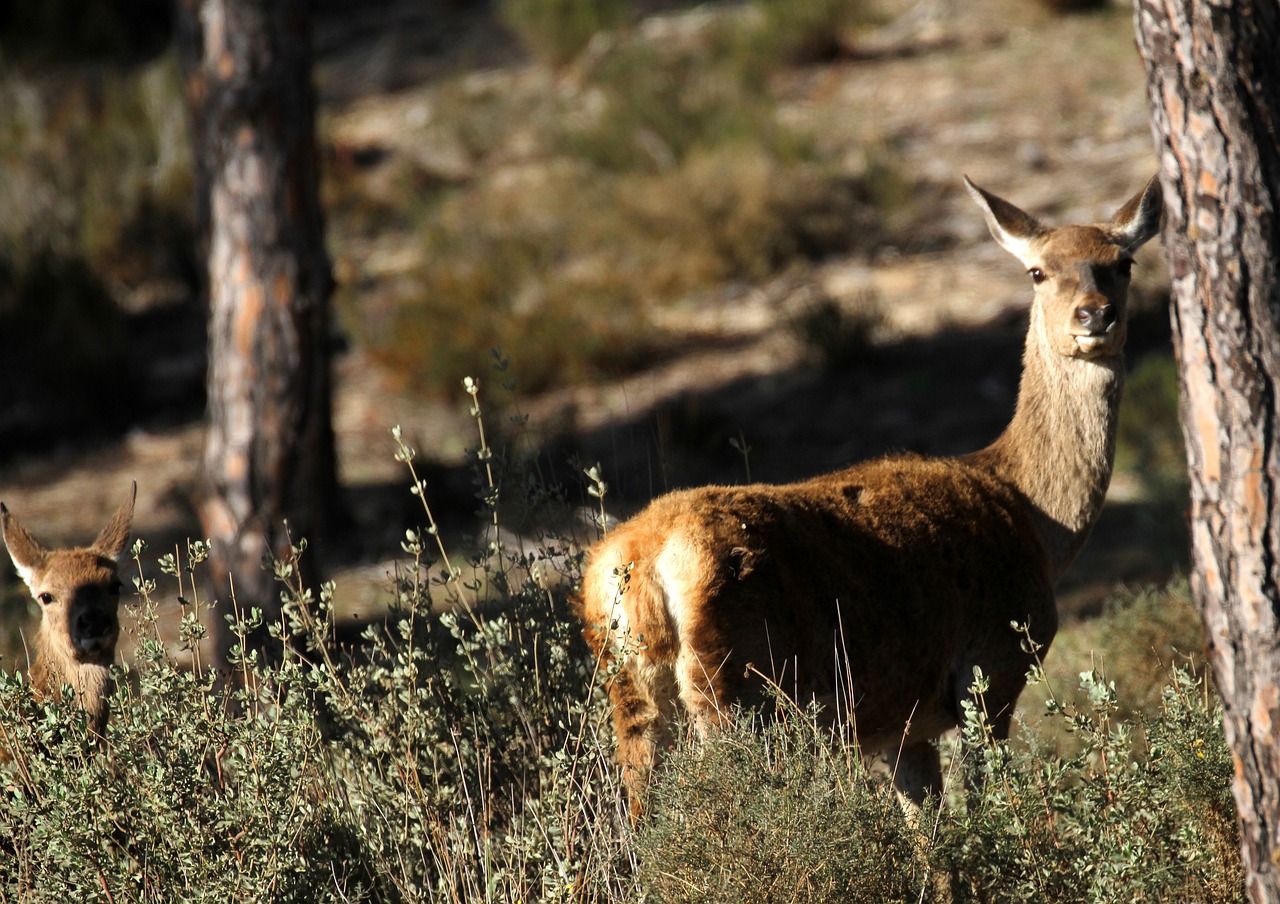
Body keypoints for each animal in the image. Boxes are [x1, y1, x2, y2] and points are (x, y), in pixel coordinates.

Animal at [578, 172, 1162, 814]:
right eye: (1037, 270)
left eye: (1123, 262)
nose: (1094, 315)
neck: (1032, 514)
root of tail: (641, 562)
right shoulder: (994, 667)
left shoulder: (898, 724)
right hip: (739, 683)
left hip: (631, 688)